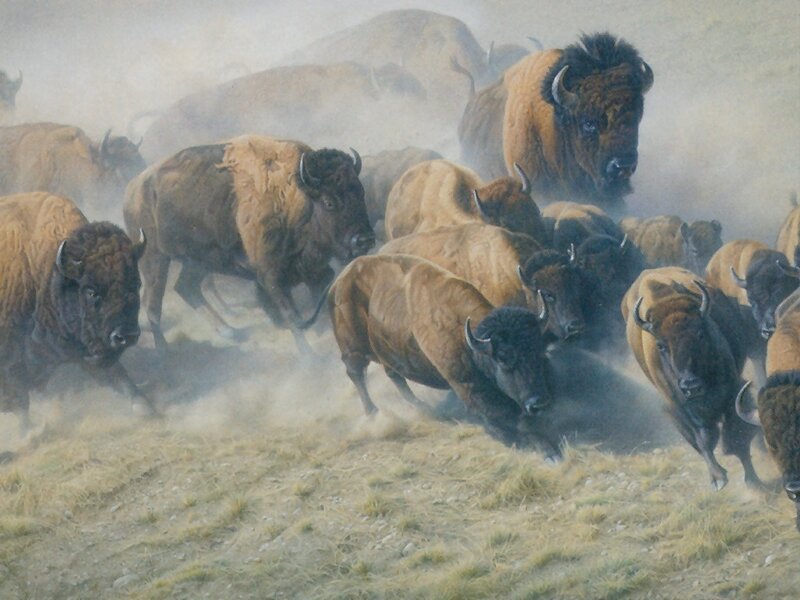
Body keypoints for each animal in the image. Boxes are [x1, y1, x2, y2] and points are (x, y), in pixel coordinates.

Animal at [0, 192, 153, 432]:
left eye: (136, 284)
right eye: (91, 291)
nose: (126, 335)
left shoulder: (85, 349)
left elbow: (119, 377)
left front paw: (145, 408)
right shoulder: (11, 360)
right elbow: (20, 401)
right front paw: (28, 432)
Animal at [123, 135, 374, 354]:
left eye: (361, 192)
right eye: (329, 202)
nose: (365, 239)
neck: (294, 197)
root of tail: (133, 190)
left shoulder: (315, 271)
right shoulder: (271, 278)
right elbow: (291, 315)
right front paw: (310, 359)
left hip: (198, 262)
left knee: (186, 287)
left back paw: (229, 331)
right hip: (154, 259)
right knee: (153, 305)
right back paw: (163, 352)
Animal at [329, 253, 560, 459]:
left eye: (539, 352)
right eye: (503, 358)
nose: (539, 403)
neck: (469, 341)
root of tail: (338, 282)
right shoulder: (471, 392)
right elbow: (510, 426)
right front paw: (547, 452)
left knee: (394, 375)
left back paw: (422, 405)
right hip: (353, 351)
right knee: (357, 375)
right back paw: (374, 414)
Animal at [622, 268, 761, 490]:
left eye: (700, 333)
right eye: (660, 345)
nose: (691, 386)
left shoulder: (732, 393)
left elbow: (737, 437)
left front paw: (754, 482)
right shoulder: (678, 408)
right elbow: (702, 442)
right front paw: (718, 479)